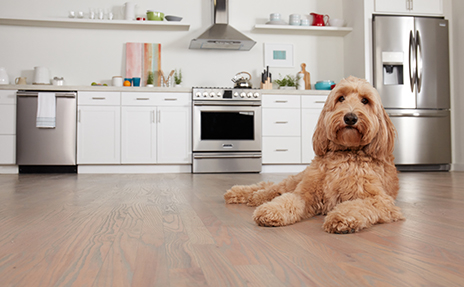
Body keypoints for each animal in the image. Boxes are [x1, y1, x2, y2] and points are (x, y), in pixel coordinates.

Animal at [224, 76, 402, 234]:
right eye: (341, 98)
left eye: (365, 100)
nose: (350, 118)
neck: (345, 153)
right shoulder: (305, 192)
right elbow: (287, 200)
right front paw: (271, 210)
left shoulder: (379, 200)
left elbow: (356, 206)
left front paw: (341, 218)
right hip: (297, 180)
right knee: (271, 187)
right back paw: (247, 194)